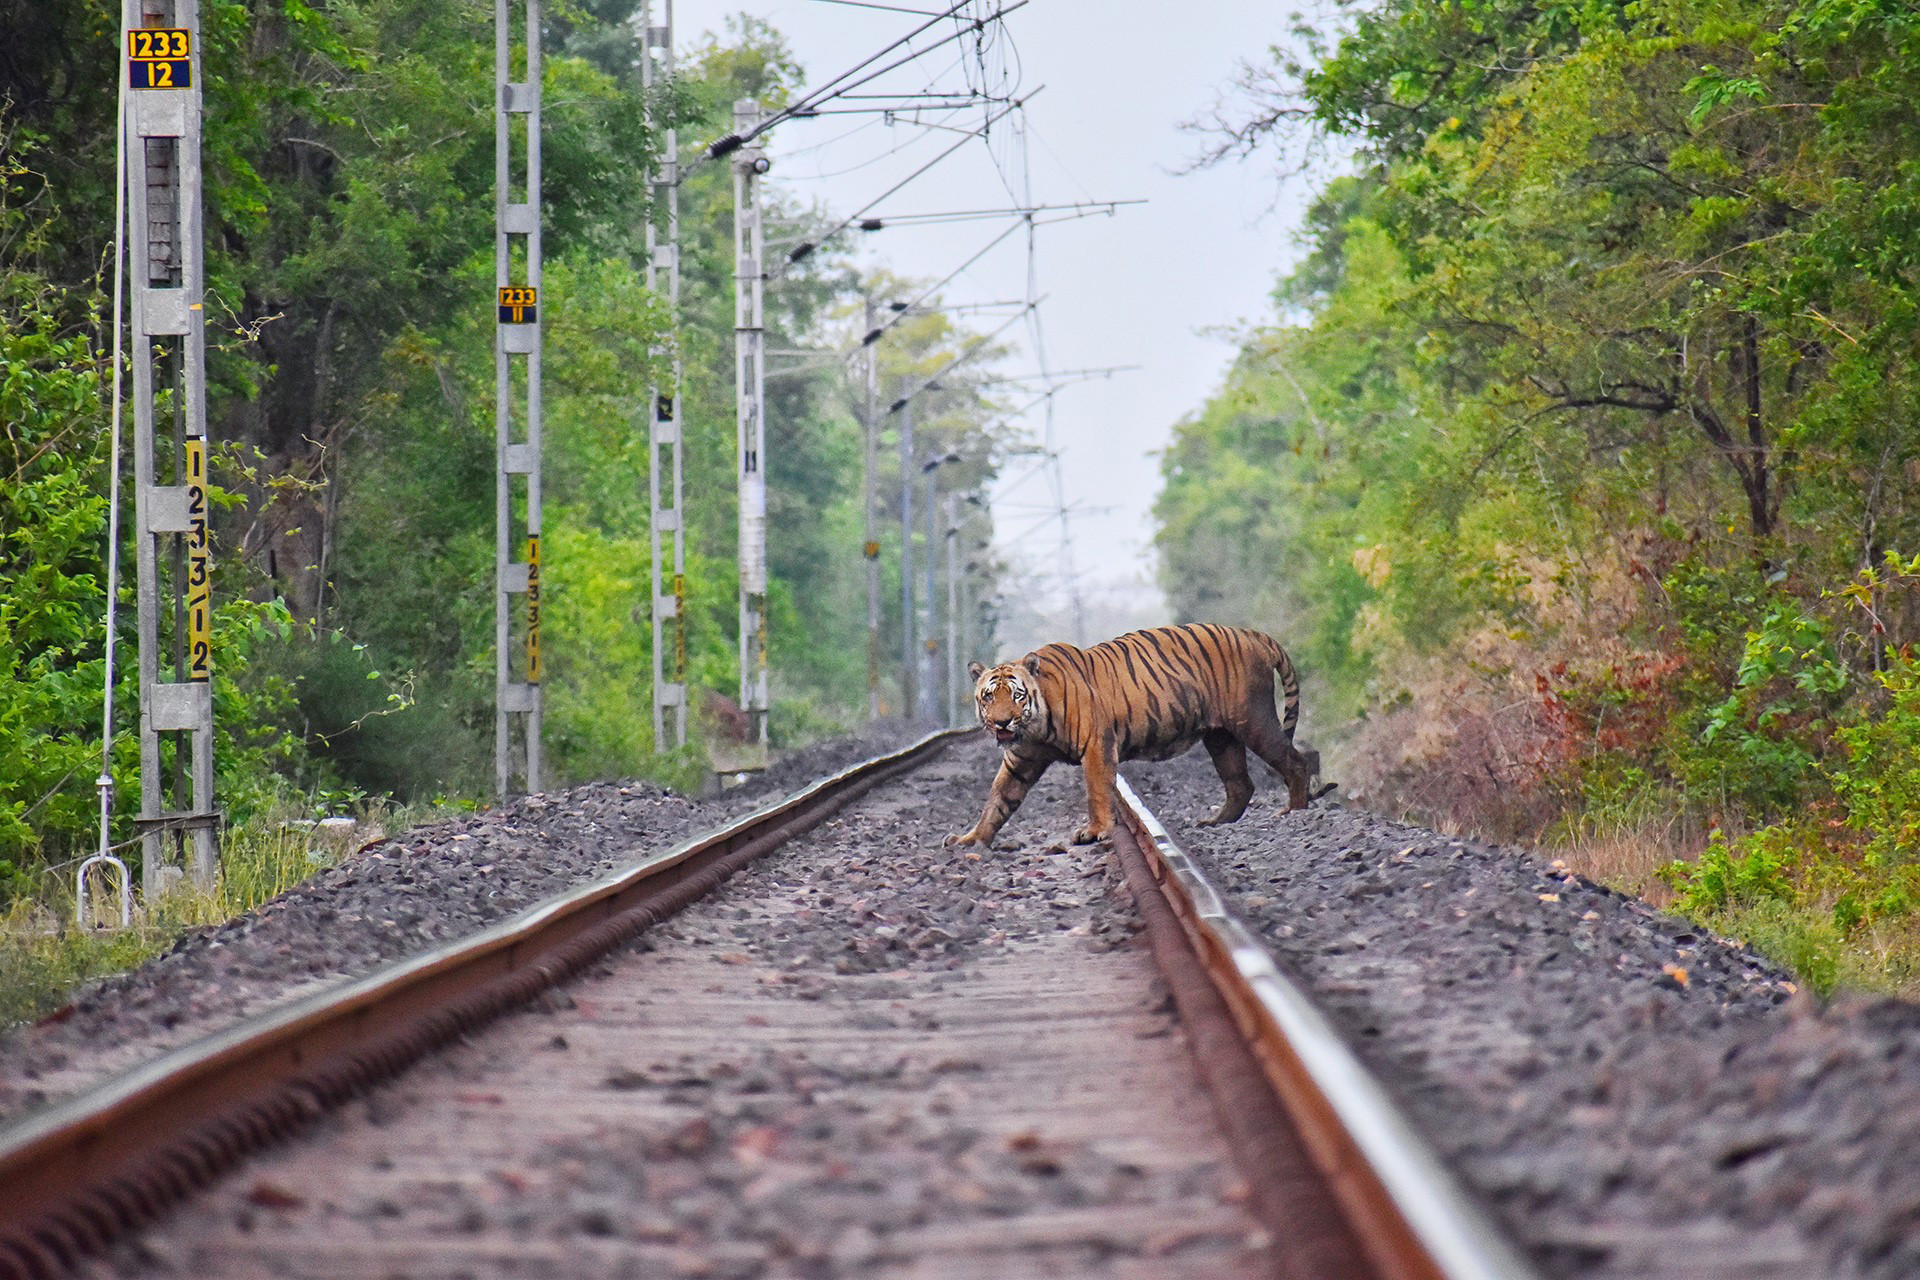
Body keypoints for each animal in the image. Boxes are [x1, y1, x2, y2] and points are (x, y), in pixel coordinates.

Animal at [947, 623, 1322, 848]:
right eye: (988, 697)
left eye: (1017, 696)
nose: (1002, 723)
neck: (1035, 727)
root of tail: (1252, 633)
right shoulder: (1020, 761)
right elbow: (997, 800)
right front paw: (970, 839)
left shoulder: (1096, 746)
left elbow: (1098, 790)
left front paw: (1094, 831)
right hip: (1220, 736)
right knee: (1240, 783)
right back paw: (1216, 821)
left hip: (1253, 720)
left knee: (1295, 761)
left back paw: (1293, 811)